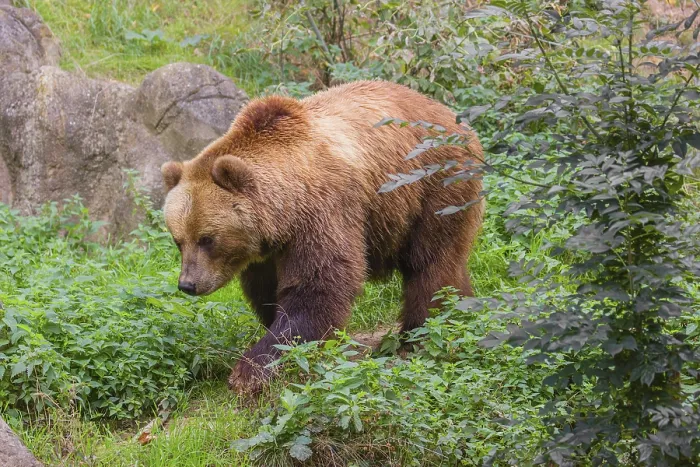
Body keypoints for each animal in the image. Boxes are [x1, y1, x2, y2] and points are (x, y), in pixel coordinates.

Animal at [160, 80, 484, 393]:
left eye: (207, 239)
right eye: (178, 240)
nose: (188, 284)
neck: (283, 210)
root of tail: (452, 116)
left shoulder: (322, 211)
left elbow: (318, 285)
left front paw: (251, 370)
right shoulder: (266, 251)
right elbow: (267, 291)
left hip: (434, 184)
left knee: (430, 262)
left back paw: (419, 333)